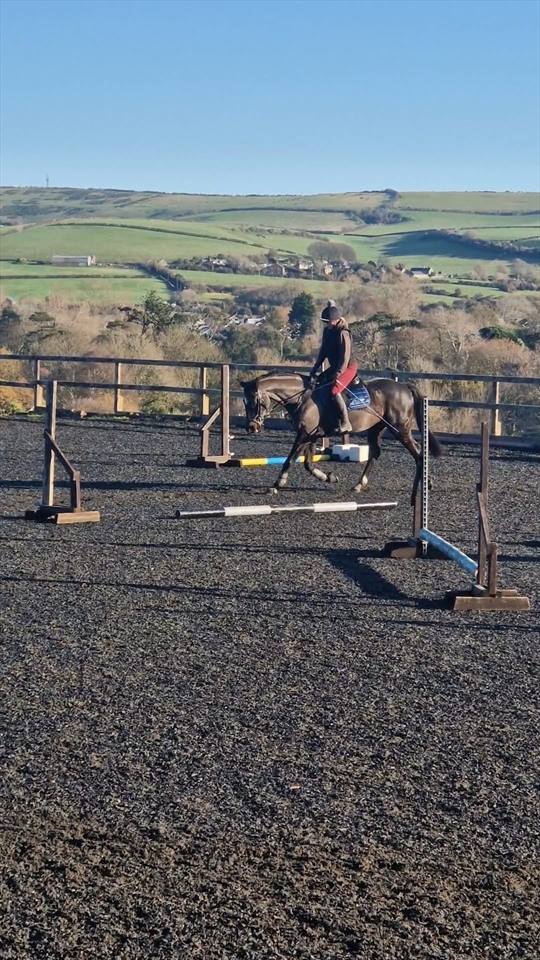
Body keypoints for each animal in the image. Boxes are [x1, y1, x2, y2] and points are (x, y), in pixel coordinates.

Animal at [240, 372, 442, 495]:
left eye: (255, 400)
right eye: (244, 401)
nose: (251, 427)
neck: (302, 397)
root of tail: (404, 387)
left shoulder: (304, 434)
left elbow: (290, 458)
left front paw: (277, 484)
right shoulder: (312, 435)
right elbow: (307, 463)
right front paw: (328, 477)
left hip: (399, 429)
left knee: (418, 452)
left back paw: (427, 483)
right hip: (376, 428)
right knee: (377, 452)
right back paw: (359, 484)